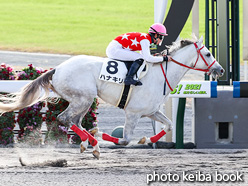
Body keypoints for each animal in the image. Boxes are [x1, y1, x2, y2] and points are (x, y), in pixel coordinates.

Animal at [0, 36, 225, 158]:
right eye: (207, 54)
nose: (220, 70)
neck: (160, 75)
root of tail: (57, 69)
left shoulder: (151, 111)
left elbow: (169, 125)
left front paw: (148, 139)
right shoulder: (133, 113)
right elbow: (124, 140)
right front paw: (107, 136)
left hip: (84, 100)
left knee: (75, 121)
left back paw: (90, 143)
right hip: (84, 97)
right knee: (65, 118)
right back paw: (94, 141)